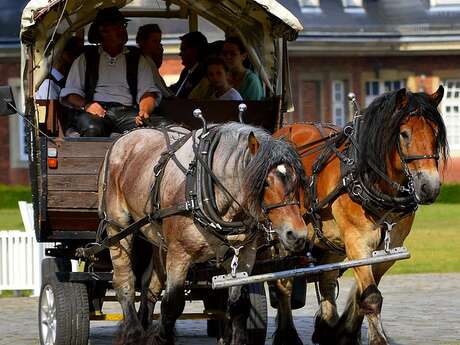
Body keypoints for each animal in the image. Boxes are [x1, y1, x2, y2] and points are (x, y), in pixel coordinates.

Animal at [98, 122, 310, 342]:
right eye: (264, 182)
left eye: (296, 180)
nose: (297, 234)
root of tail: (126, 136)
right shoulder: (179, 254)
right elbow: (172, 305)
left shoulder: (244, 256)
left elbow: (238, 306)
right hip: (118, 227)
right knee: (124, 281)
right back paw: (134, 332)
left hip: (157, 240)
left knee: (151, 287)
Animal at [274, 86, 450, 344]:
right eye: (404, 134)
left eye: (436, 134)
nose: (430, 187)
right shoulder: (357, 242)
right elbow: (371, 297)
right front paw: (376, 338)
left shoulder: (390, 249)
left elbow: (363, 294)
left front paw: (344, 332)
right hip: (284, 236)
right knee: (284, 283)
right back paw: (287, 333)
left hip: (329, 241)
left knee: (326, 280)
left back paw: (327, 326)